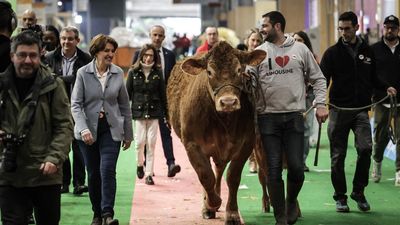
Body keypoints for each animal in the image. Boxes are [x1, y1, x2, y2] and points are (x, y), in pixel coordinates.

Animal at [168, 41, 266, 224]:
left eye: (239, 70)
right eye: (209, 72)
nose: (228, 102)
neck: (223, 121)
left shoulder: (246, 142)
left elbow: (232, 177)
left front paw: (232, 213)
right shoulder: (192, 144)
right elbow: (205, 176)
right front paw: (211, 204)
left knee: (219, 170)